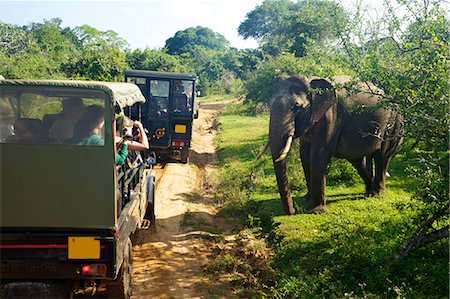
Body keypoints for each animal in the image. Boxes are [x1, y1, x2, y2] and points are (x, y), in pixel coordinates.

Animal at [268, 75, 404, 216]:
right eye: (269, 105)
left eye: (297, 107)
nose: (293, 211)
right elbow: (304, 155)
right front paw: (307, 199)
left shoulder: (330, 116)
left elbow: (319, 154)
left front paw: (316, 211)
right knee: (357, 160)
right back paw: (369, 192)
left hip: (393, 124)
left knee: (382, 156)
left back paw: (377, 195)